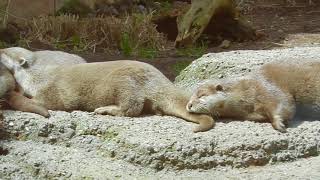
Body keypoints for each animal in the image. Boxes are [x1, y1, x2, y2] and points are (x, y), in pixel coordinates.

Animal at [0, 56, 215, 132]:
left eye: (4, 52)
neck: (36, 77)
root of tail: (159, 78)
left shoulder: (49, 91)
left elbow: (44, 102)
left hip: (123, 81)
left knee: (132, 106)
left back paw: (105, 109)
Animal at [188, 60, 320, 132]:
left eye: (201, 95)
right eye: (191, 96)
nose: (189, 105)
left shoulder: (268, 88)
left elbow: (284, 104)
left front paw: (279, 124)